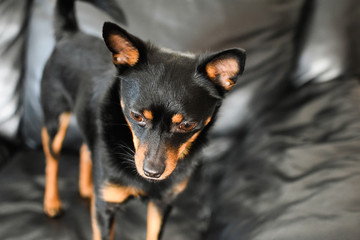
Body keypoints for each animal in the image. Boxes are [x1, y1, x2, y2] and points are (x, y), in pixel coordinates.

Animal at [41, 0, 245, 239]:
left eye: (187, 125)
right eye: (136, 116)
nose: (152, 172)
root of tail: (70, 33)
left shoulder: (161, 205)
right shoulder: (105, 209)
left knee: (85, 147)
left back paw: (86, 189)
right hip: (54, 120)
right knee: (52, 158)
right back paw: (52, 202)